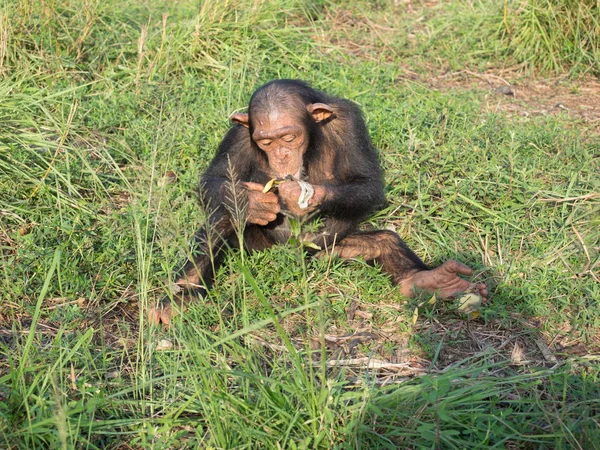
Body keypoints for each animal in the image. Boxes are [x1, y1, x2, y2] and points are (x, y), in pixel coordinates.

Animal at [148, 80, 486, 324]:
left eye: (289, 137)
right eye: (265, 141)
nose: (282, 156)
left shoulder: (349, 121)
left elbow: (367, 184)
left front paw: (303, 195)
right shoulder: (239, 134)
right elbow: (213, 179)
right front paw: (254, 201)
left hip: (322, 252)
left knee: (383, 242)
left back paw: (430, 280)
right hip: (259, 248)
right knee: (224, 214)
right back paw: (180, 297)